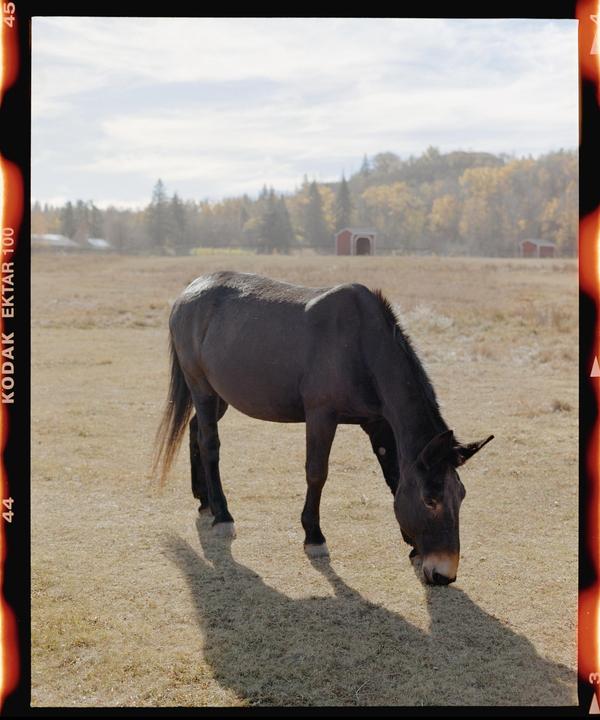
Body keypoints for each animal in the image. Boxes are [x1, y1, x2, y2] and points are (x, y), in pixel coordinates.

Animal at [154, 271, 493, 586]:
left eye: (461, 496)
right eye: (430, 500)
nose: (444, 574)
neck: (360, 345)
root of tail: (190, 291)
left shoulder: (378, 423)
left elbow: (394, 476)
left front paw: (411, 545)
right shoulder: (321, 416)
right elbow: (317, 473)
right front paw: (314, 536)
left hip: (219, 394)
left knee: (195, 431)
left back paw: (205, 501)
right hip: (200, 387)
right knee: (209, 443)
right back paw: (222, 515)